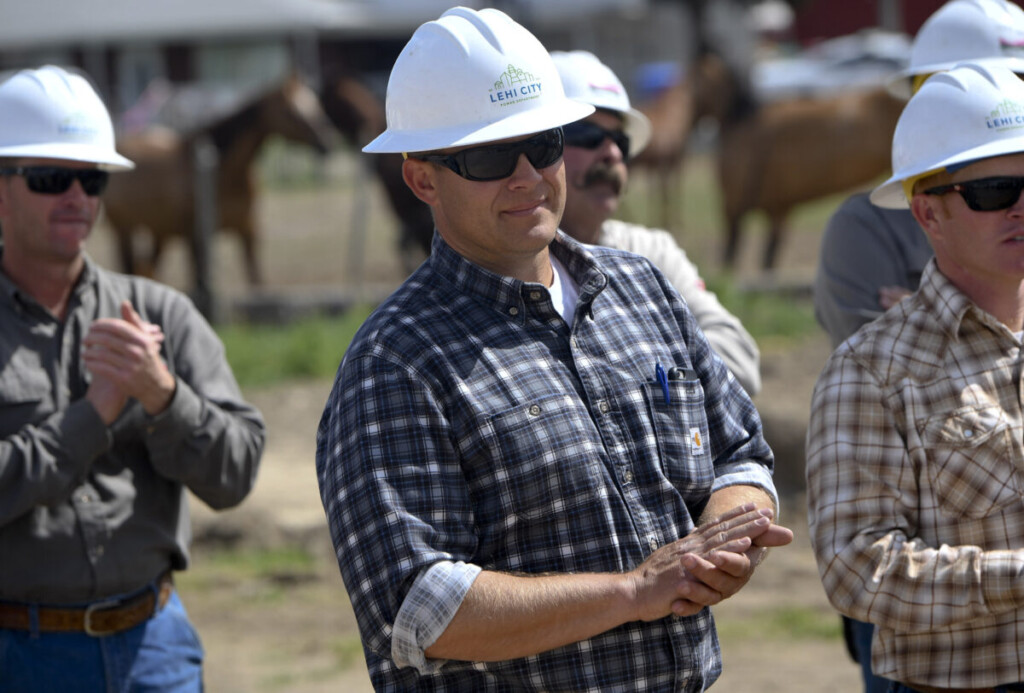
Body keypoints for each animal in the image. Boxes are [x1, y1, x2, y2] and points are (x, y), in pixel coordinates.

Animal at [102, 73, 335, 284]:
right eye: (290, 111)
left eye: (313, 104)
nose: (326, 142)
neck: (226, 175)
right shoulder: (197, 239)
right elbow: (200, 280)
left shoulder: (249, 232)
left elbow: (256, 281)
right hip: (125, 231)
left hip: (160, 232)